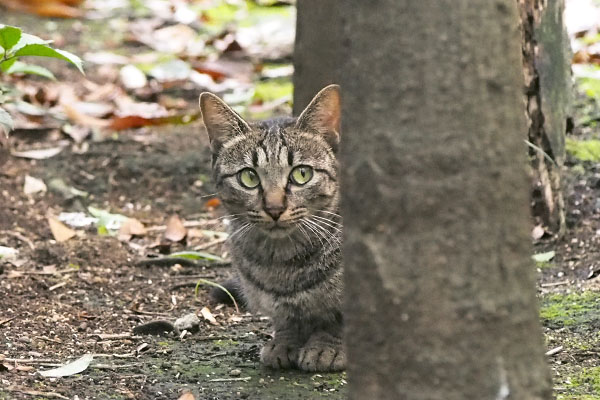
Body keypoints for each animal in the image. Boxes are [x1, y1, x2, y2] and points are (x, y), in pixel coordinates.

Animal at [199, 85, 344, 372]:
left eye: (302, 174)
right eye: (249, 177)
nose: (275, 208)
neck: (281, 262)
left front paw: (327, 346)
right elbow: (287, 320)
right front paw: (286, 341)